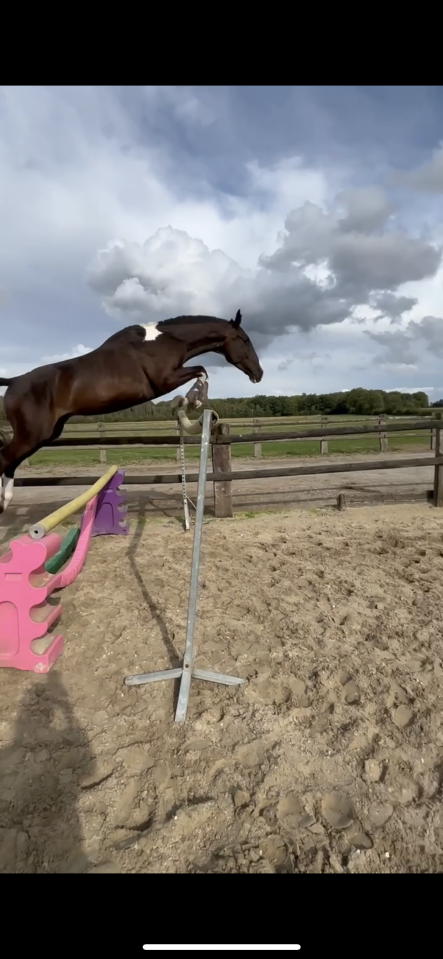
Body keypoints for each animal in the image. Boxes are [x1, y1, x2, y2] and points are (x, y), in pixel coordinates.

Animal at [0, 309, 263, 514]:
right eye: (245, 340)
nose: (258, 373)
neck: (166, 340)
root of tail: (13, 382)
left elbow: (201, 371)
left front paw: (191, 401)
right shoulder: (165, 380)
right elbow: (202, 370)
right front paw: (195, 400)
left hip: (44, 435)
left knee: (10, 462)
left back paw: (6, 501)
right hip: (32, 435)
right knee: (5, 458)